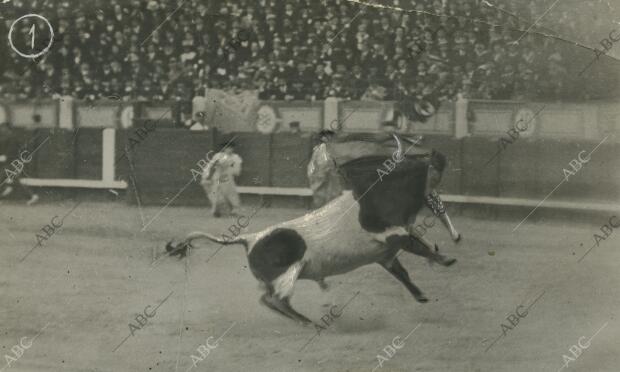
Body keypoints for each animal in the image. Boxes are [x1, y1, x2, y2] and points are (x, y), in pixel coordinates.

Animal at [166, 134, 460, 326]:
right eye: (417, 163)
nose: (440, 155)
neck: (377, 195)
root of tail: (249, 238)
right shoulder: (393, 234)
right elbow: (419, 247)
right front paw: (446, 259)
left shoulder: (385, 254)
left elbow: (404, 271)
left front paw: (422, 293)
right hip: (288, 273)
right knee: (274, 300)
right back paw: (311, 323)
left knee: (270, 300)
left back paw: (306, 322)